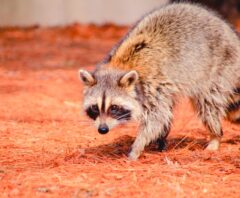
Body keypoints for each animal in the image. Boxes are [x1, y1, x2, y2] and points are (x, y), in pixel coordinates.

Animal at [79, 2, 240, 161]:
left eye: (114, 107)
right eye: (95, 108)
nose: (102, 129)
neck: (121, 66)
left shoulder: (153, 85)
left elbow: (157, 117)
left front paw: (137, 146)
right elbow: (162, 115)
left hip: (219, 67)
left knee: (208, 104)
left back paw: (215, 136)